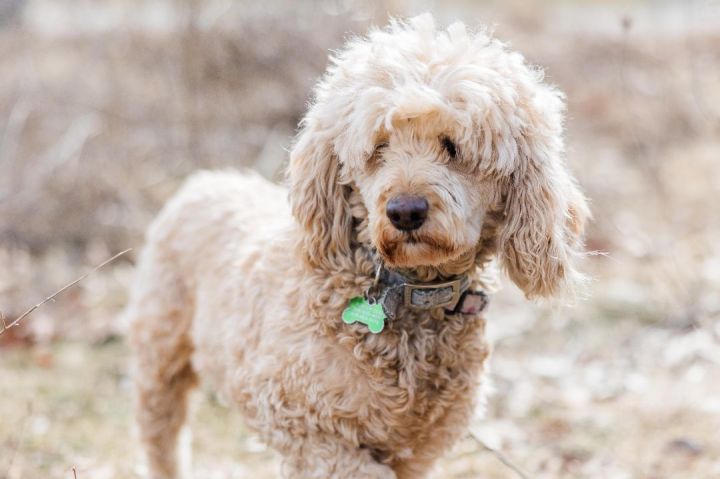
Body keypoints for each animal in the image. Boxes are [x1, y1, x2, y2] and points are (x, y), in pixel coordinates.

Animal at [126, 14, 588, 479]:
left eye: (453, 146)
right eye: (379, 147)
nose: (404, 212)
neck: (403, 290)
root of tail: (205, 179)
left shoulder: (416, 449)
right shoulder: (293, 416)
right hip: (159, 364)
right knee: (162, 440)